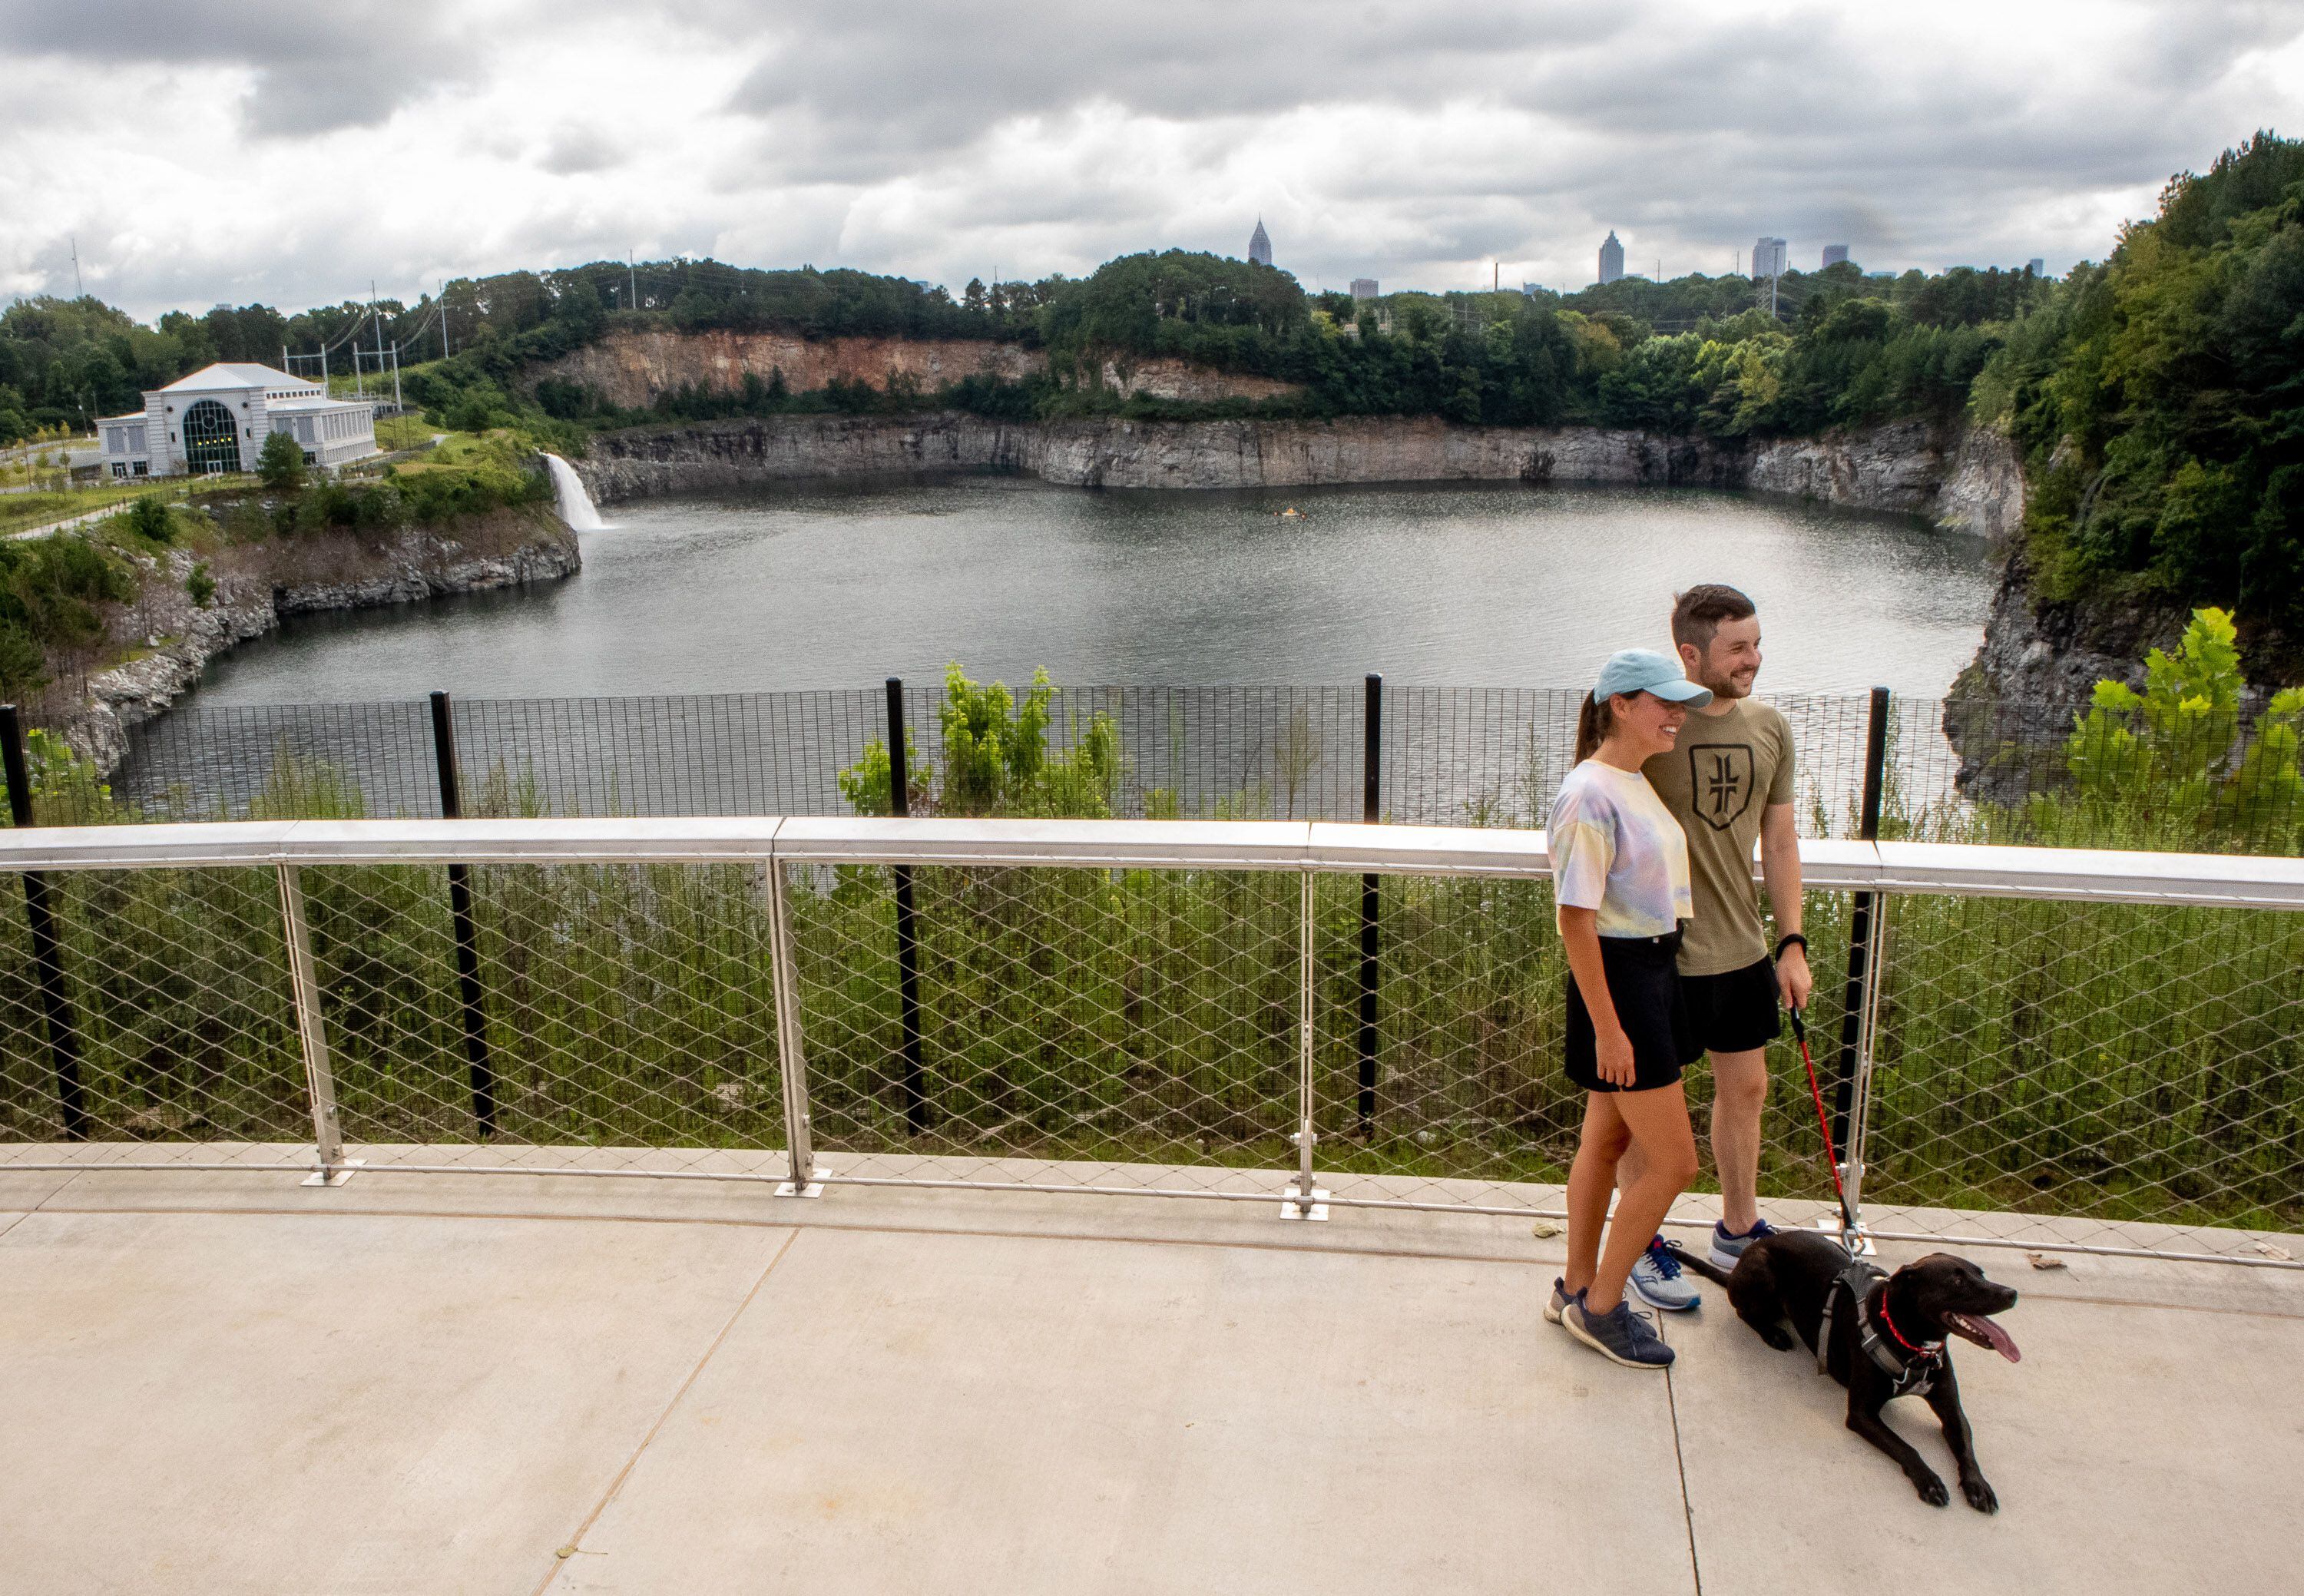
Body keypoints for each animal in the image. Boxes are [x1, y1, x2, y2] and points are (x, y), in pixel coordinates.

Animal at [1668, 1225, 2028, 1511]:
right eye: (1956, 1281)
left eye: (1981, 1273)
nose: (2011, 1293)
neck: (1911, 1342)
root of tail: (1748, 1253)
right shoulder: (1861, 1414)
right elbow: (1906, 1447)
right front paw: (1929, 1480)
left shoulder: (1951, 1409)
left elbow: (1966, 1444)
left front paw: (1978, 1486)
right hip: (1761, 1274)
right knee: (1746, 1312)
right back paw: (1773, 1333)